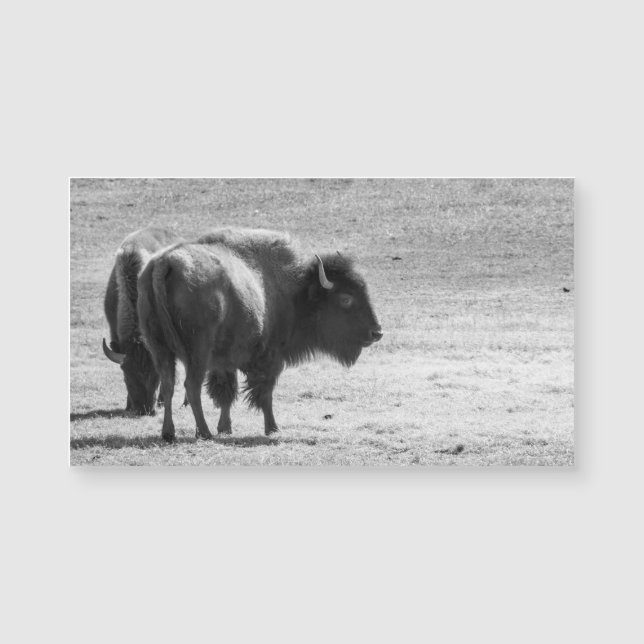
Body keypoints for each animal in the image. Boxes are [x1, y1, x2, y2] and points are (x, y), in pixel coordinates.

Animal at [137, 227, 382, 441]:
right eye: (346, 298)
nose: (377, 332)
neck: (296, 292)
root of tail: (164, 263)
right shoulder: (270, 358)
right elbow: (265, 393)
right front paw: (272, 428)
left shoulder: (224, 361)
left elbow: (226, 392)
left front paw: (225, 428)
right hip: (197, 352)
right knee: (191, 386)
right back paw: (204, 433)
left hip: (159, 348)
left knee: (168, 384)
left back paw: (169, 433)